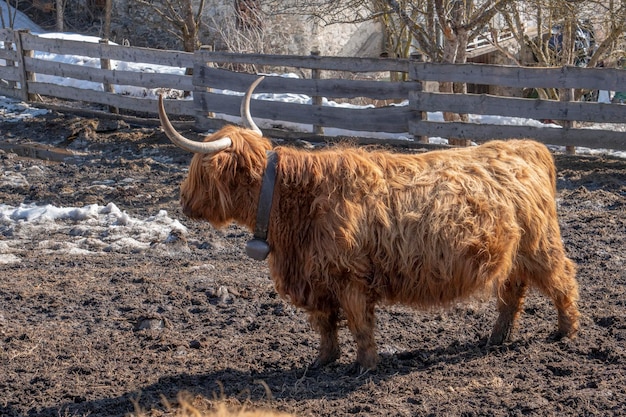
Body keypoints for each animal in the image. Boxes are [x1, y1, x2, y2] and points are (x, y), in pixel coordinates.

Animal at [158, 77, 576, 370]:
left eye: (198, 169)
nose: (183, 201)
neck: (290, 205)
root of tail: (525, 146)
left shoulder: (350, 278)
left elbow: (359, 324)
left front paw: (364, 366)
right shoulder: (314, 278)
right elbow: (325, 325)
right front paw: (323, 362)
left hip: (540, 247)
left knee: (562, 282)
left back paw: (565, 332)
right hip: (513, 254)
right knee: (512, 291)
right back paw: (496, 339)